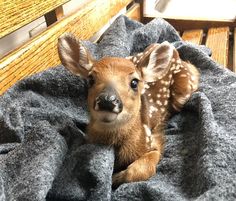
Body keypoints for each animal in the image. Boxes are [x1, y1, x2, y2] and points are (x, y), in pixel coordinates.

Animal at [57, 33, 199, 186]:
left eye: (134, 82)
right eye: (91, 79)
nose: (107, 101)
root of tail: (174, 50)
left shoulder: (154, 141)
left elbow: (141, 170)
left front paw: (115, 178)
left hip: (185, 89)